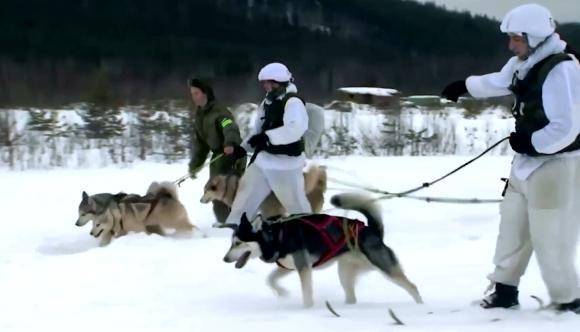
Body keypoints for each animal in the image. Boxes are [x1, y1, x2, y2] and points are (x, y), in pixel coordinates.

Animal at [222, 192, 422, 308]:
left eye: (238, 243)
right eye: (231, 243)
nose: (224, 259)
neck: (276, 235)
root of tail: (372, 230)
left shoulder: (303, 268)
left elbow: (306, 292)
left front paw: (307, 309)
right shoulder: (289, 267)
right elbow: (270, 279)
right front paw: (282, 293)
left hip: (385, 267)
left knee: (412, 286)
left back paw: (420, 307)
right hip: (344, 273)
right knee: (351, 296)